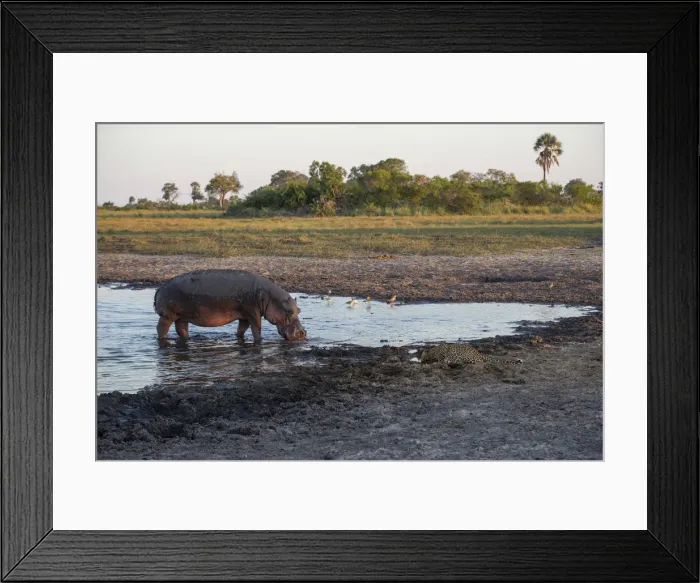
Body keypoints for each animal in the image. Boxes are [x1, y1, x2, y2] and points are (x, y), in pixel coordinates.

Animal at [153, 269, 306, 344]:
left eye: (299, 310)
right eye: (289, 312)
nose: (303, 333)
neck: (270, 297)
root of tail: (160, 288)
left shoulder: (244, 316)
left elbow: (242, 329)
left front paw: (239, 337)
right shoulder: (253, 313)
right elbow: (257, 329)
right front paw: (259, 341)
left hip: (182, 316)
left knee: (181, 330)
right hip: (167, 315)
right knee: (161, 328)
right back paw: (163, 340)